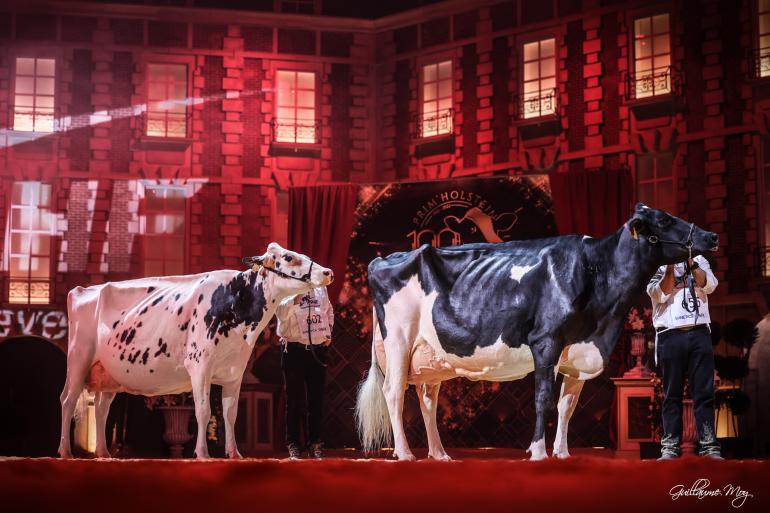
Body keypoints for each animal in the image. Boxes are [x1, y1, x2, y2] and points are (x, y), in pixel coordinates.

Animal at [59, 242, 330, 458]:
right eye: (288, 257)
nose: (327, 271)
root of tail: (83, 290)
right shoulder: (200, 366)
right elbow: (203, 411)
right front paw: (202, 454)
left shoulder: (235, 372)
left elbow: (230, 414)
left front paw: (235, 454)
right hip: (78, 360)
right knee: (68, 400)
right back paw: (66, 452)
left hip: (108, 374)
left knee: (101, 408)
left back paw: (103, 453)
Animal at [356, 204, 716, 460]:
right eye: (665, 220)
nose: (711, 236)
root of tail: (384, 258)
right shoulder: (546, 341)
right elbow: (543, 399)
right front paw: (539, 452)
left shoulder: (577, 355)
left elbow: (566, 406)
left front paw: (563, 454)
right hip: (400, 338)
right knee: (394, 392)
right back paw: (405, 454)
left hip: (431, 357)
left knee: (427, 400)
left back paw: (439, 455)